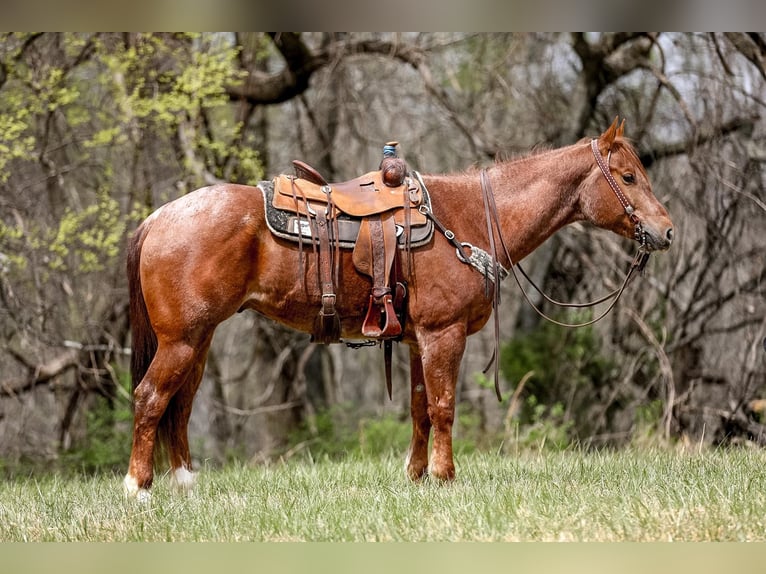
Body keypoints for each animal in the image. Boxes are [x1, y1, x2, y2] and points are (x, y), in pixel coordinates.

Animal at [123, 119, 676, 502]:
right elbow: (444, 406)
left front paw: (416, 477)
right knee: (151, 398)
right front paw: (446, 477)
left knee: (179, 406)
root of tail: (157, 218)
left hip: (199, 340)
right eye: (628, 176)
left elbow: (419, 410)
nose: (667, 231)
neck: (468, 217)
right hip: (182, 340)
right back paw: (136, 488)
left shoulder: (416, 340)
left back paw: (184, 484)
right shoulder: (444, 334)